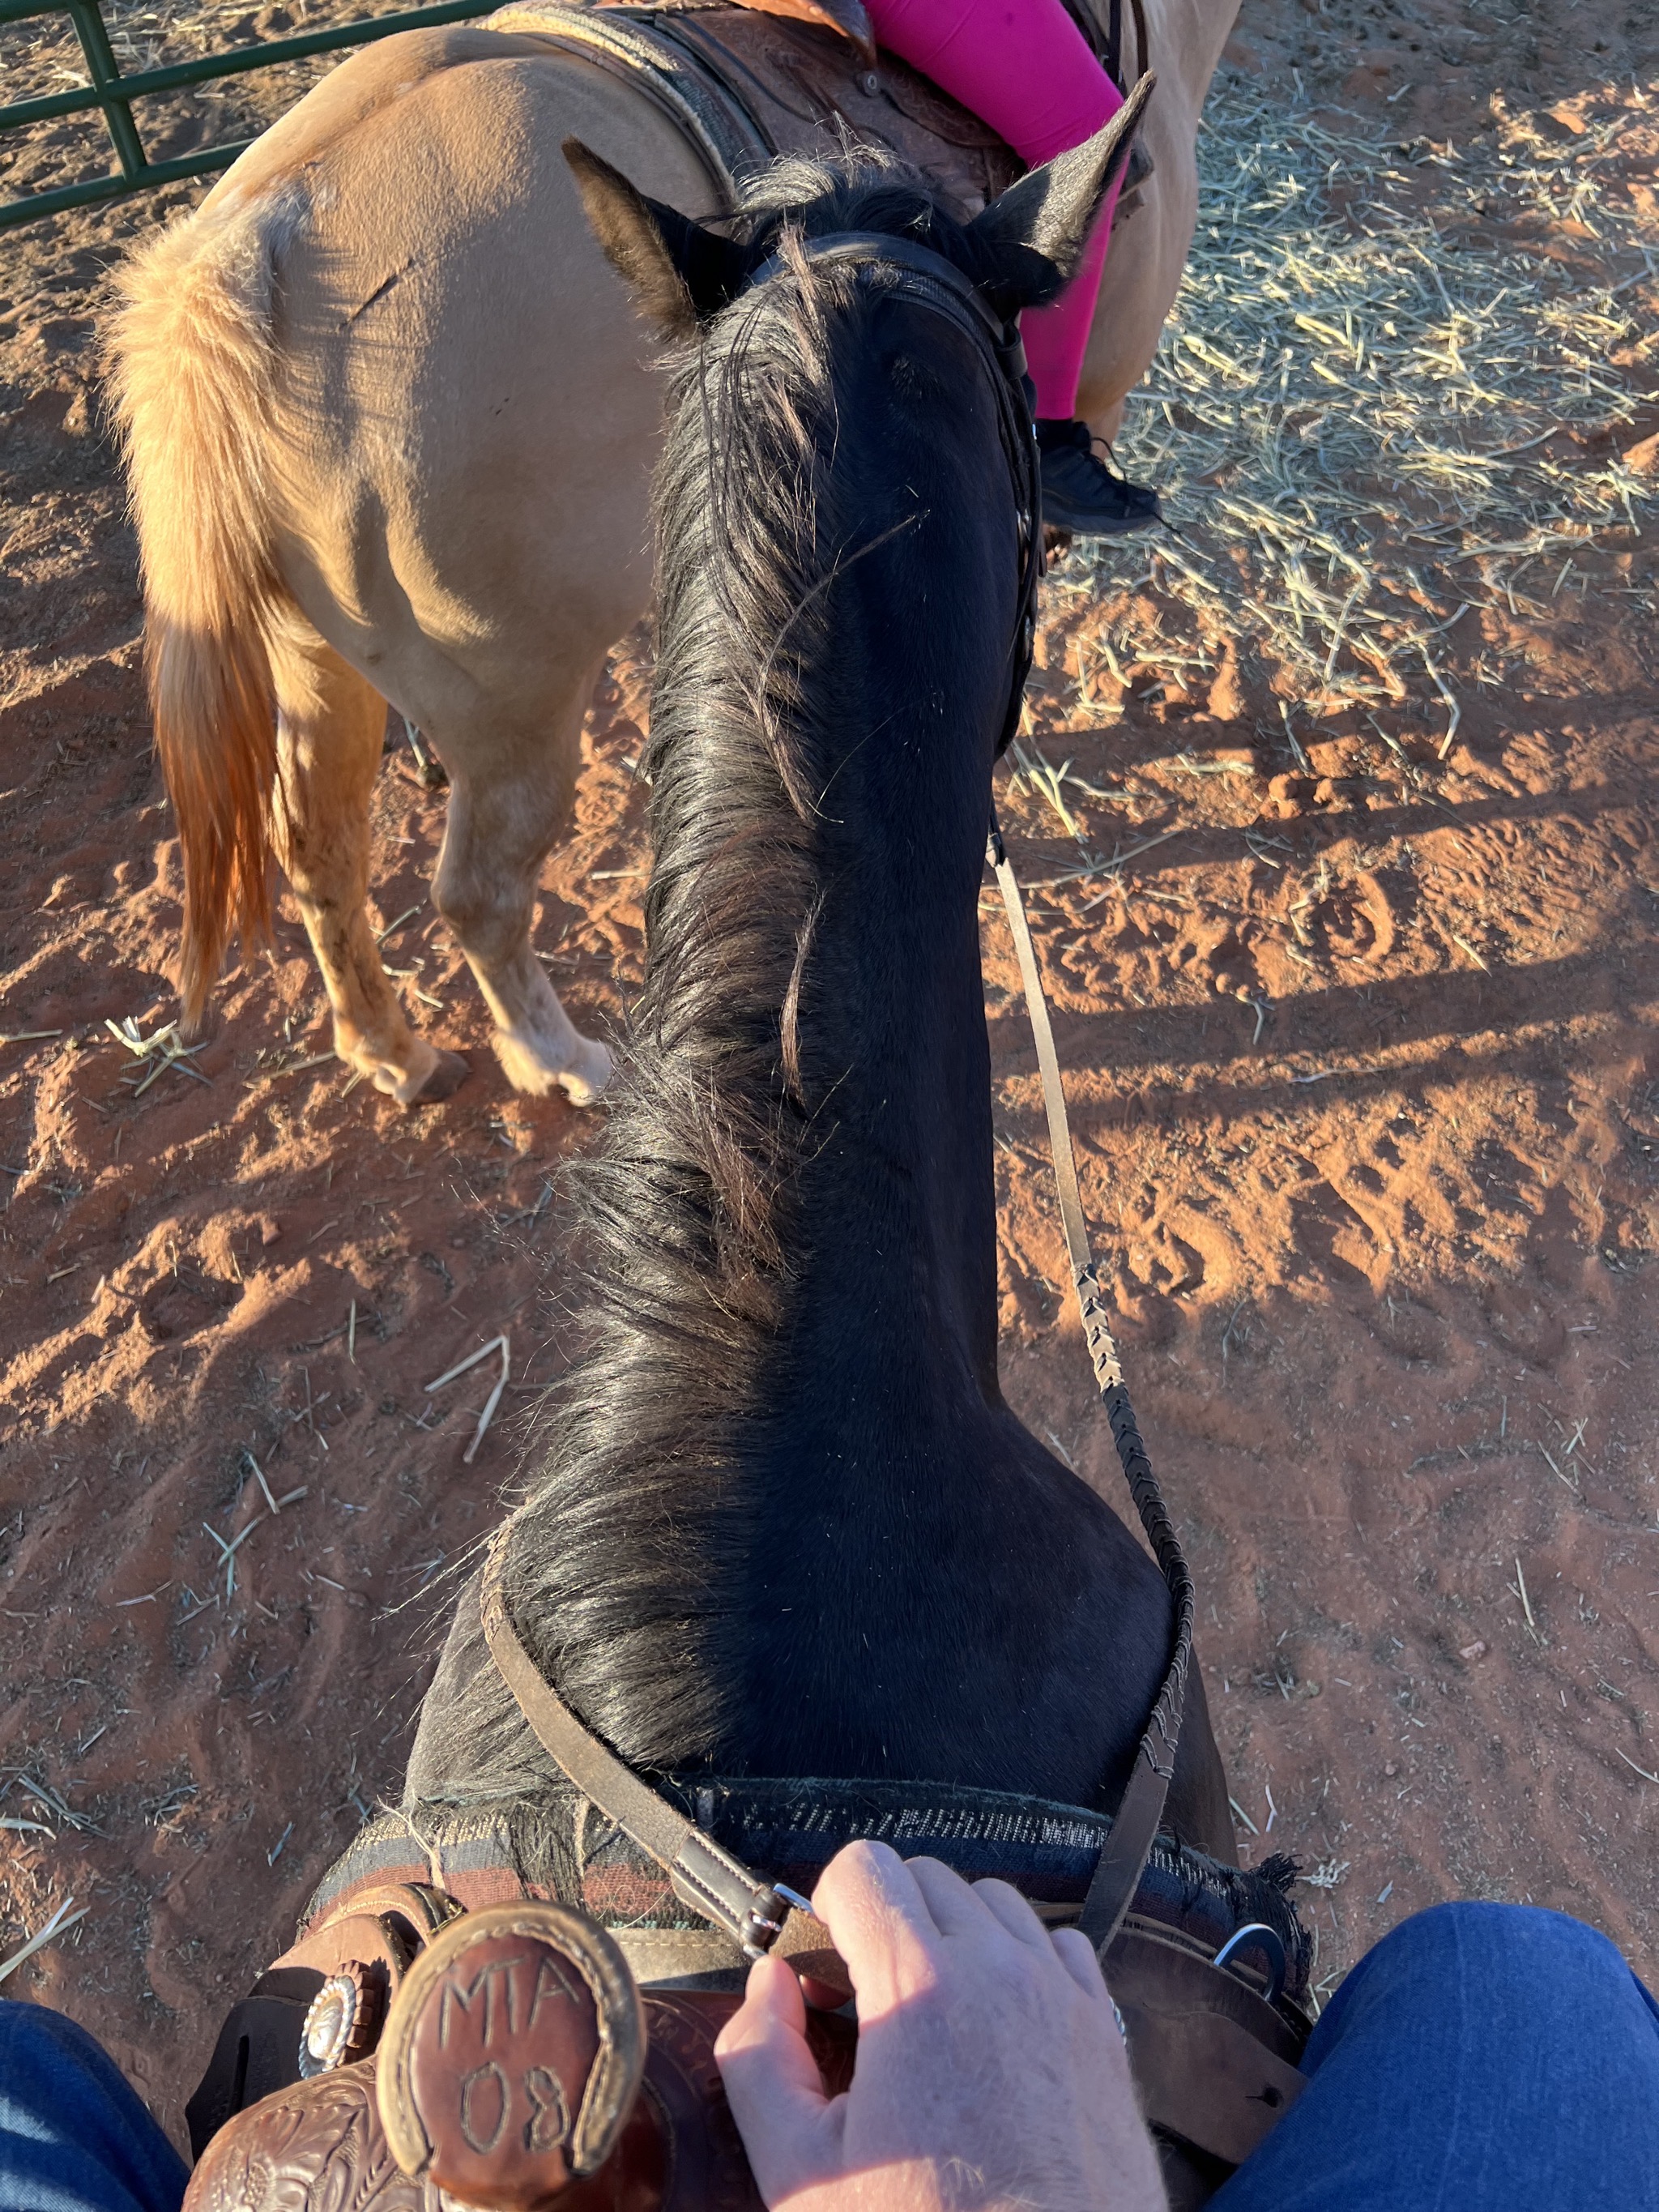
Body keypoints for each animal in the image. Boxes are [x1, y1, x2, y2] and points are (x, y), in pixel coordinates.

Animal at [106, 0, 1242, 1108]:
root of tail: (262, 238)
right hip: (512, 700)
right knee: (478, 893)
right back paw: (557, 1060)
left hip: (319, 662)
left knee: (319, 850)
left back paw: (395, 1053)